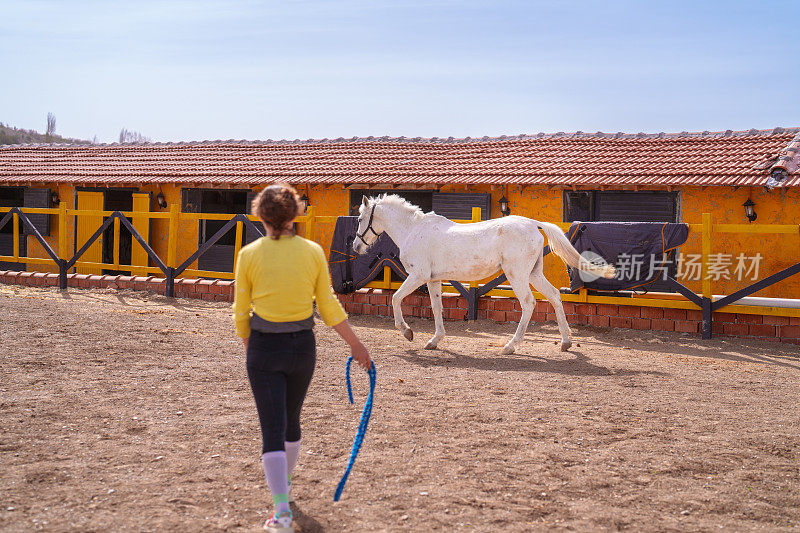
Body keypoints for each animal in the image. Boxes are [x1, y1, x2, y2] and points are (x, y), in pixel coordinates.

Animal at [354, 194, 616, 354]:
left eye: (360, 218)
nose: (356, 247)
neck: (414, 230)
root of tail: (533, 223)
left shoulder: (418, 276)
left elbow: (395, 298)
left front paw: (407, 332)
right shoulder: (433, 279)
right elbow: (437, 308)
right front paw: (434, 341)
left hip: (517, 275)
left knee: (528, 303)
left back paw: (511, 346)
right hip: (533, 274)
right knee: (553, 296)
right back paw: (565, 342)